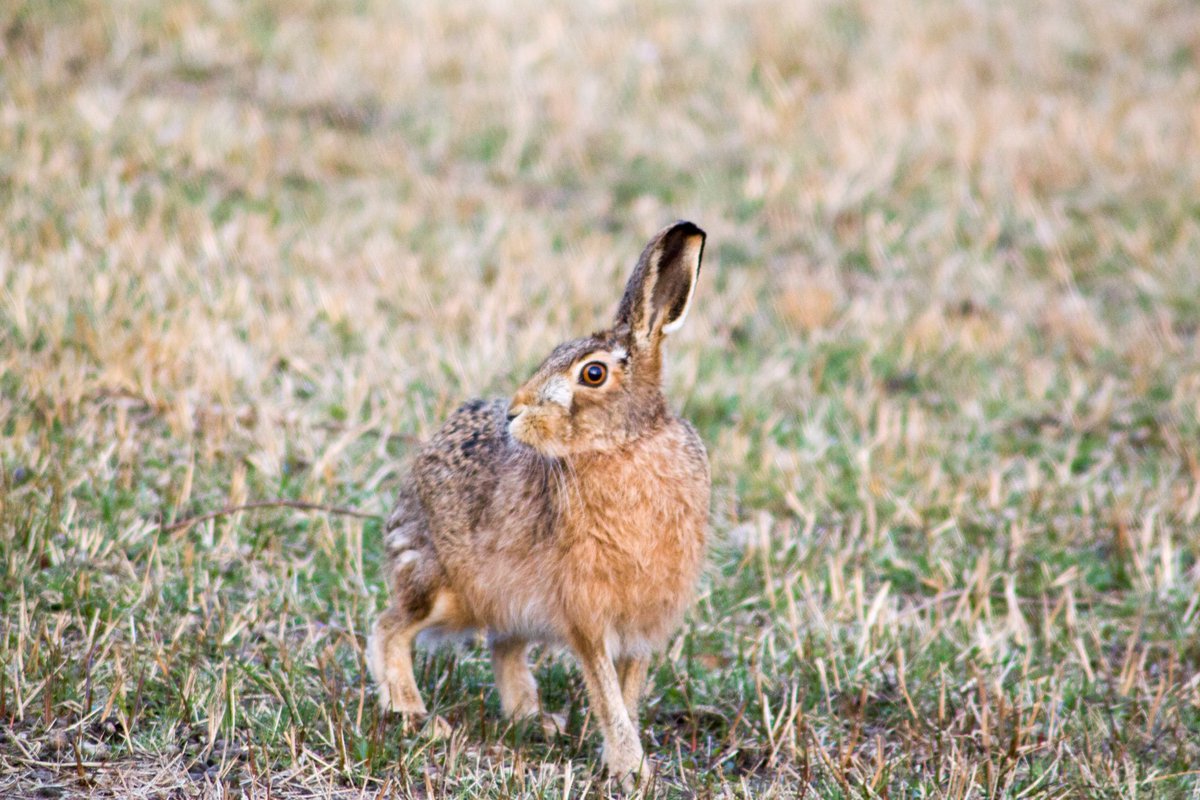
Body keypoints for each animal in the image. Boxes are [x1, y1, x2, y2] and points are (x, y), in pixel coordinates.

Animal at [367, 221, 710, 787]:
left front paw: (624, 764)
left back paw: (535, 720)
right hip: (442, 588)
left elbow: (626, 693)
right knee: (390, 625)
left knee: (502, 645)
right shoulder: (586, 611)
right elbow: (607, 691)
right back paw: (413, 713)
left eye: (592, 374)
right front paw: (629, 767)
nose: (512, 412)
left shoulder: (645, 618)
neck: (624, 444)